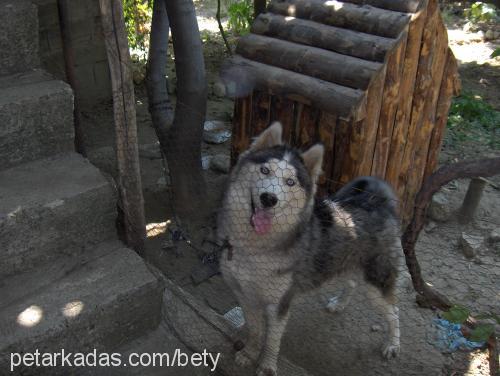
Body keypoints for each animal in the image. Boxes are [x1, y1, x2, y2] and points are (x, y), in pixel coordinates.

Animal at [217, 122, 408, 374]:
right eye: (265, 170)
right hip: (345, 263)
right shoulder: (243, 294)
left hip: (377, 282)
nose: (269, 198)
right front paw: (249, 353)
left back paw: (393, 344)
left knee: (393, 311)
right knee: (352, 282)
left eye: (290, 182)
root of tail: (378, 201)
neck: (254, 247)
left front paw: (267, 366)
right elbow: (255, 330)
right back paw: (340, 303)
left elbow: (272, 340)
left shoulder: (278, 304)